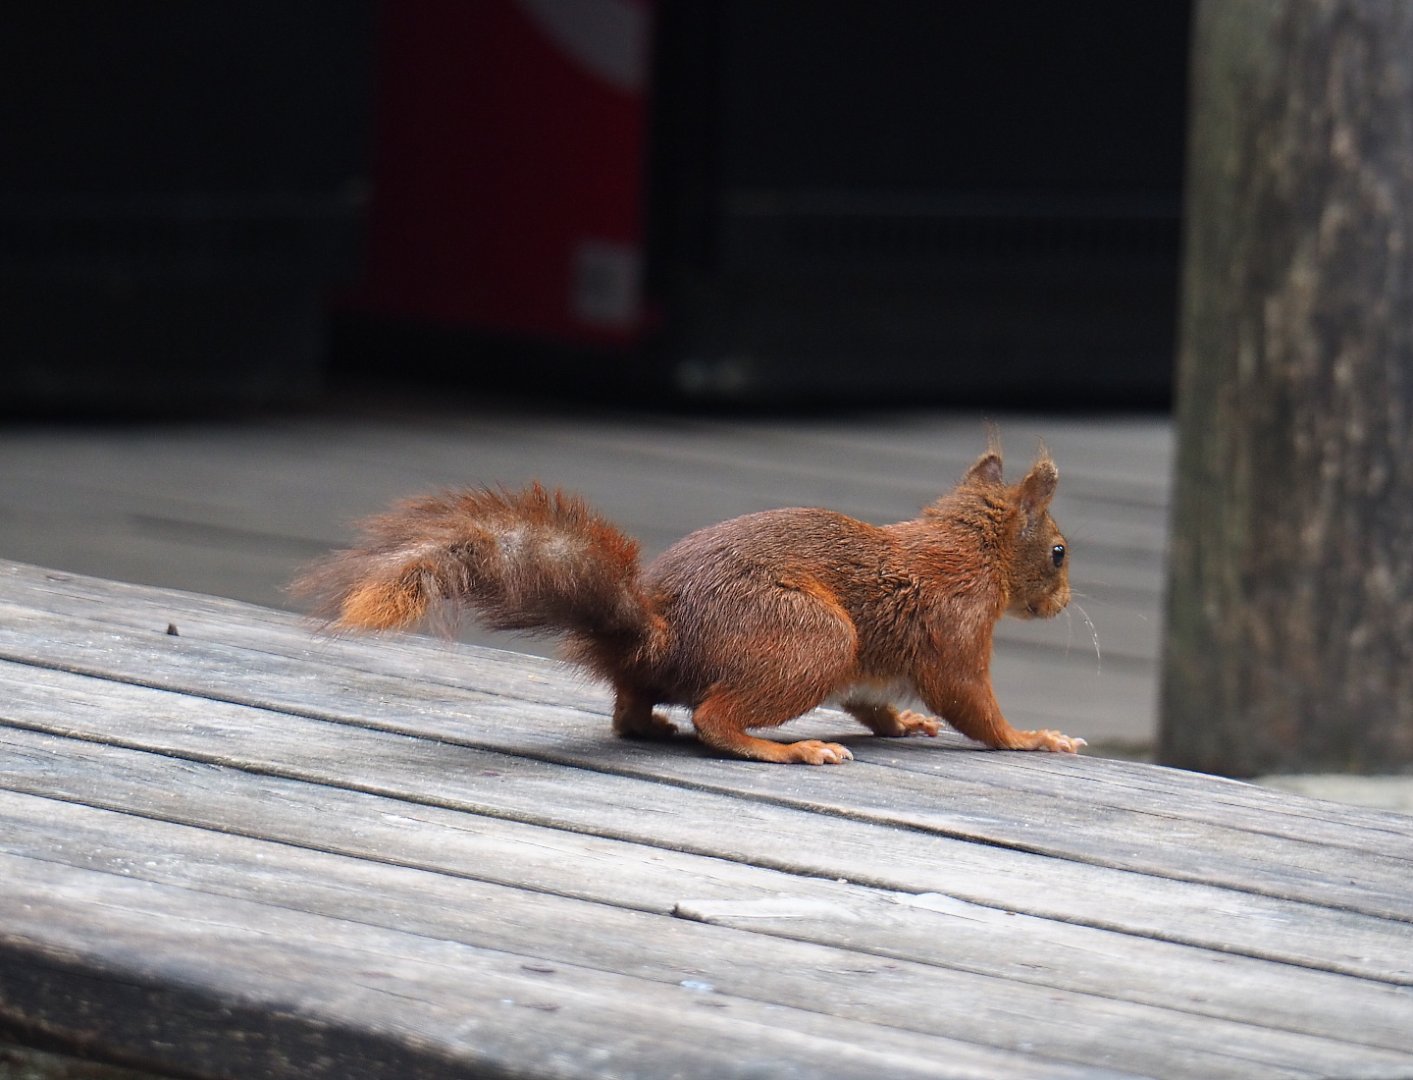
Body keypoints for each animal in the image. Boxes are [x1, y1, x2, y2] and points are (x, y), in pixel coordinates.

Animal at [292, 443, 1085, 765]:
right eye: (1058, 552)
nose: (1063, 601)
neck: (968, 547)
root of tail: (661, 634)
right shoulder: (957, 626)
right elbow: (971, 703)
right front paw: (1031, 738)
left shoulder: (876, 670)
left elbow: (875, 703)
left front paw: (908, 722)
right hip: (815, 640)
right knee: (714, 719)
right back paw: (784, 749)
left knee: (631, 707)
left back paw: (652, 723)